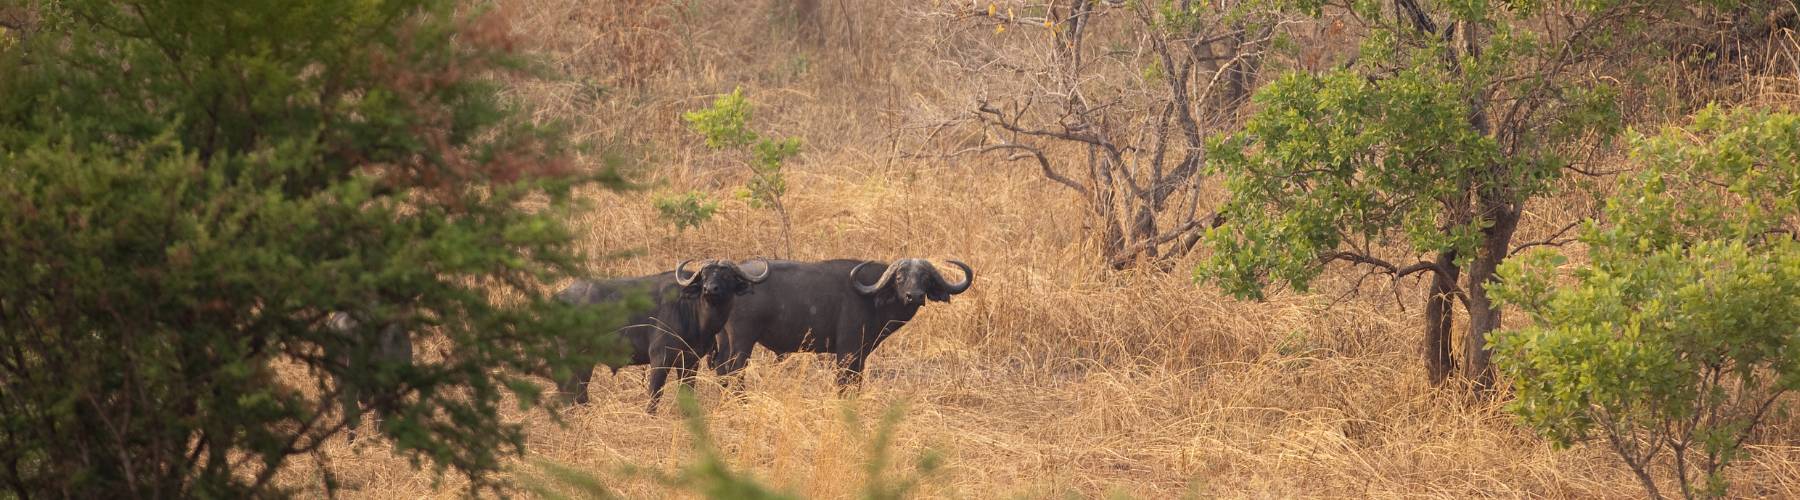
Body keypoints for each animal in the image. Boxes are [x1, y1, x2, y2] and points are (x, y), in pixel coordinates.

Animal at [554, 257, 766, 410]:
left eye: (727, 276)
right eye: (704, 276)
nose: (709, 289)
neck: (691, 310)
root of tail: (560, 297)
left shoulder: (690, 361)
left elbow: (687, 392)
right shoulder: (660, 358)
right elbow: (655, 394)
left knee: (579, 392)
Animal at [709, 258, 979, 384]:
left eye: (925, 278)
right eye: (900, 277)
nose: (915, 296)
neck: (872, 298)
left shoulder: (860, 355)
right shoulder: (847, 352)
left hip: (724, 340)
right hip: (743, 341)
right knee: (734, 371)